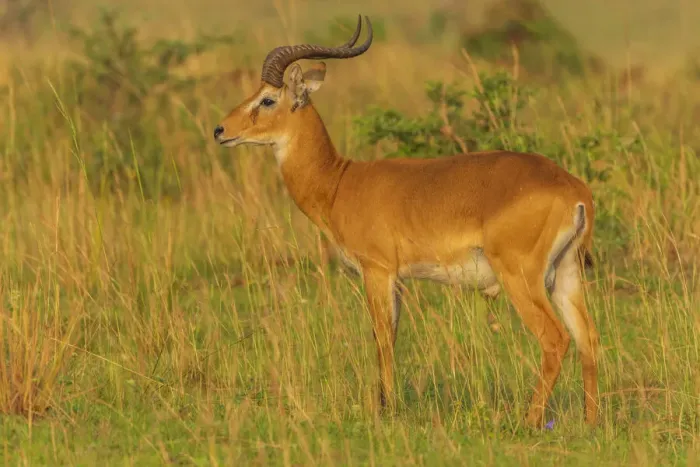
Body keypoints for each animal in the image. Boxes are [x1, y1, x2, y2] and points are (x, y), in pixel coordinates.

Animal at [214, 15, 600, 427]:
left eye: (267, 99)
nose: (220, 130)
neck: (339, 182)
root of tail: (574, 190)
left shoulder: (377, 271)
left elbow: (381, 336)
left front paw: (383, 410)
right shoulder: (397, 279)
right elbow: (391, 336)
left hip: (522, 277)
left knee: (555, 338)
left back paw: (528, 421)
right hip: (566, 274)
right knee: (587, 338)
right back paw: (591, 422)